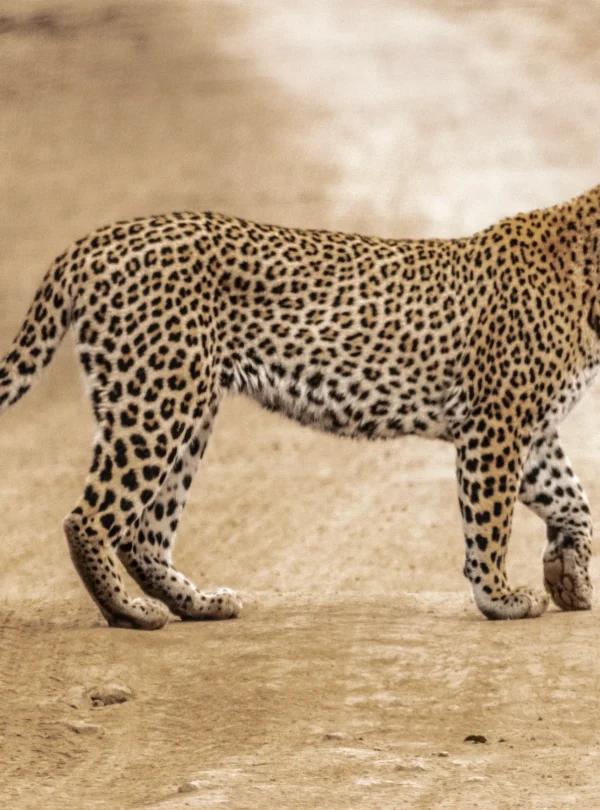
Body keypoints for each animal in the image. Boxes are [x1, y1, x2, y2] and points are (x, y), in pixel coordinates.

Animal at [2, 183, 600, 629]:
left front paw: (568, 576)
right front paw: (499, 596)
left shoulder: (532, 431)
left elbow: (574, 502)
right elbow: (491, 520)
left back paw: (197, 604)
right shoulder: (496, 424)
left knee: (145, 534)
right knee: (89, 518)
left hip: (188, 407)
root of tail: (95, 240)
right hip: (156, 397)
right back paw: (129, 612)